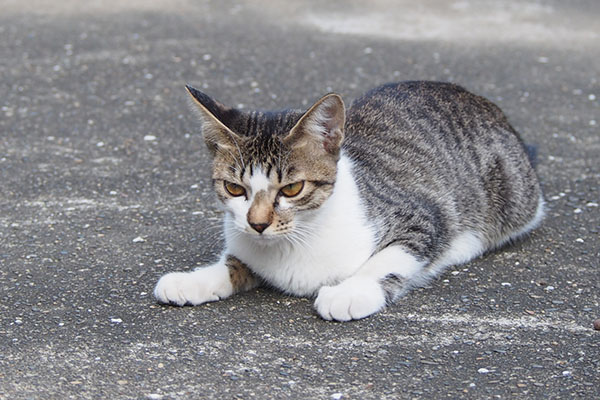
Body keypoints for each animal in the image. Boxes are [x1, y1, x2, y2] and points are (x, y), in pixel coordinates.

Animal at [151, 81, 544, 322]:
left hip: (512, 194)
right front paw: (194, 280)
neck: (297, 240)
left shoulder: (422, 215)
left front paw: (351, 291)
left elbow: (391, 255)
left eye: (292, 189)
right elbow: (234, 262)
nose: (258, 223)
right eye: (234, 189)